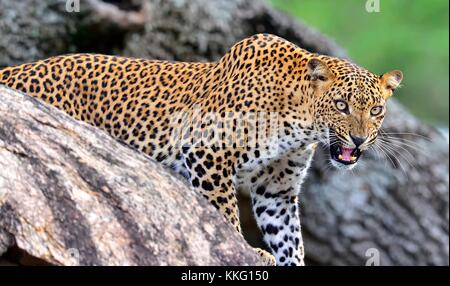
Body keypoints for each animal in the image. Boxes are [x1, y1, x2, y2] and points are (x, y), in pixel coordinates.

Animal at [0, 34, 402, 268]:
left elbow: (290, 239)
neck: (300, 121)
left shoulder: (277, 189)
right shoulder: (210, 153)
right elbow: (225, 214)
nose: (359, 140)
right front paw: (248, 251)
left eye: (376, 110)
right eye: (341, 105)